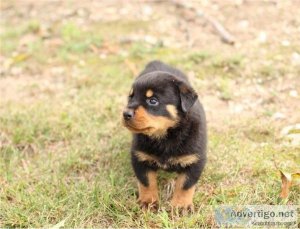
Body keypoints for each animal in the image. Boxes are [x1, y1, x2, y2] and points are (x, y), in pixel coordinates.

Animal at [122, 60, 206, 211]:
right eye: (130, 97)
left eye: (153, 101)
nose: (126, 114)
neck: (165, 136)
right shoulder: (140, 157)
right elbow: (147, 182)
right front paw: (148, 202)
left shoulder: (194, 159)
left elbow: (185, 185)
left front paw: (181, 206)